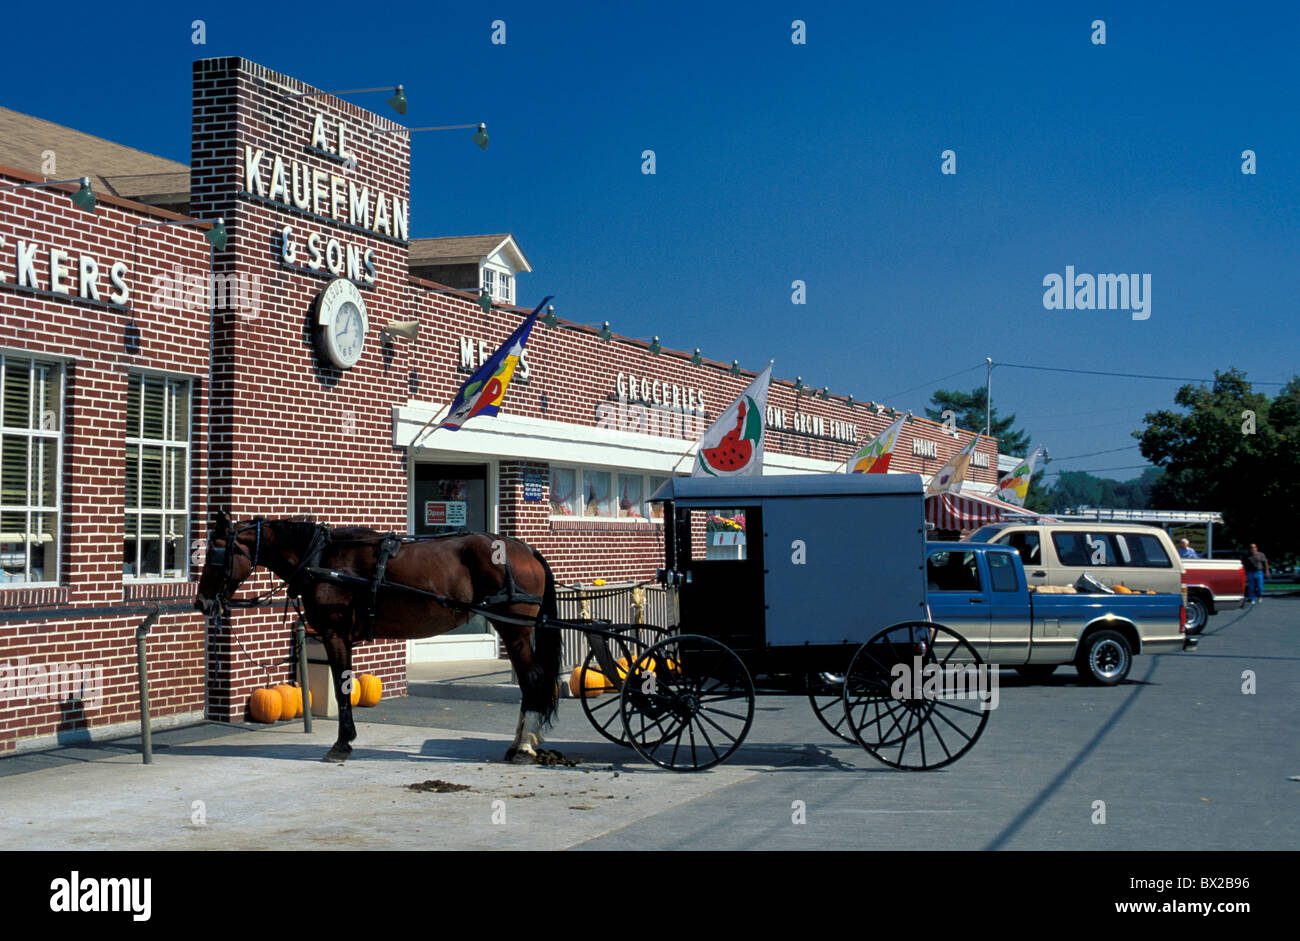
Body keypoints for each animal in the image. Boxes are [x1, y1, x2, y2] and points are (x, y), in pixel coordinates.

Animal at [195, 514, 561, 764]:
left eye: (215, 555)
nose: (201, 602)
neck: (321, 559)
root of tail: (526, 550)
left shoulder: (334, 634)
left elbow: (343, 688)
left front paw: (342, 743)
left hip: (514, 629)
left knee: (532, 680)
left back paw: (524, 747)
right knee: (530, 683)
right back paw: (518, 744)